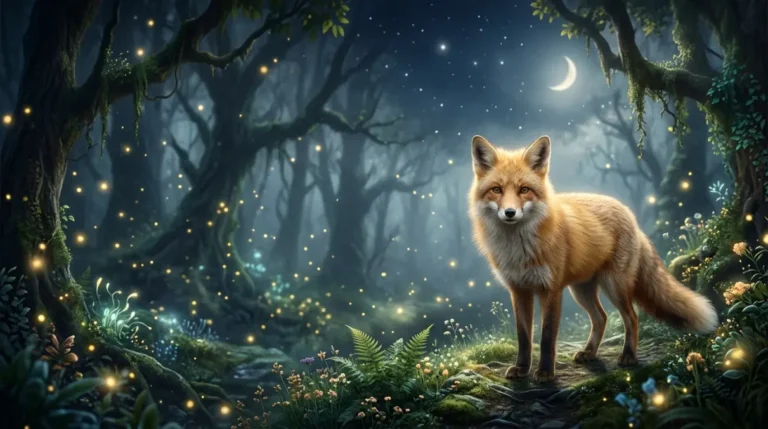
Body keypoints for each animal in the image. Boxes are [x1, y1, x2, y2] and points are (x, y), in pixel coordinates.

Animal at [468, 134, 718, 382]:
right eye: (497, 189)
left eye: (524, 190)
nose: (510, 213)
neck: (518, 248)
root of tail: (630, 215)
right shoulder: (519, 290)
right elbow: (523, 337)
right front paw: (521, 368)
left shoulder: (551, 290)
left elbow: (547, 337)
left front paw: (546, 372)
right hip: (582, 290)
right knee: (601, 318)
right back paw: (589, 353)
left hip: (614, 286)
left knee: (632, 317)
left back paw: (628, 356)